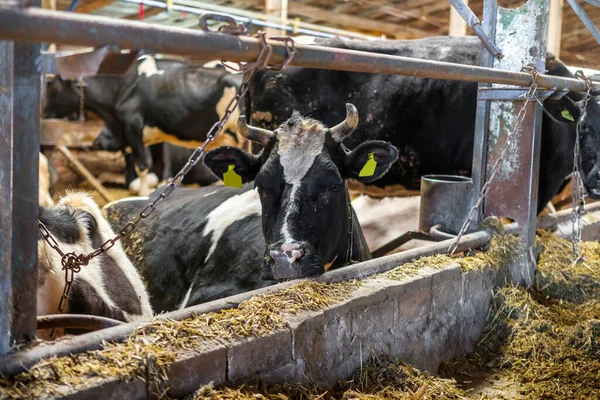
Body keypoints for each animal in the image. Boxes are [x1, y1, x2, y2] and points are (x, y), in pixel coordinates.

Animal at [42, 58, 244, 197]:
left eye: (53, 87)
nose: (43, 112)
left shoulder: (133, 125)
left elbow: (143, 166)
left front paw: (143, 195)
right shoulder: (158, 135)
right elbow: (158, 169)